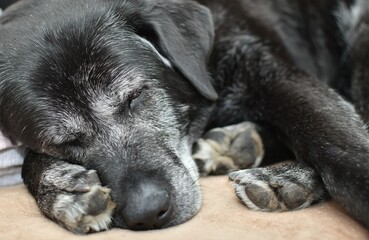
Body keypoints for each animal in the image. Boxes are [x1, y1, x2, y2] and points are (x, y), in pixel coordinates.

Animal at [0, 0, 368, 234]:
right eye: (64, 141)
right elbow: (28, 161)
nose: (148, 213)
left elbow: (333, 140)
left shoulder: (267, 70)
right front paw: (64, 190)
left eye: (136, 96)